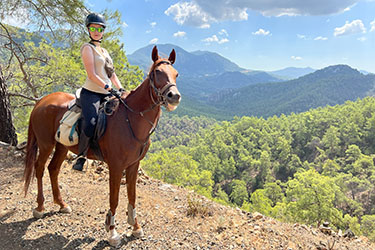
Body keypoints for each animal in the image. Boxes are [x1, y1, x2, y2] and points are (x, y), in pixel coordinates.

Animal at [23, 46, 182, 247]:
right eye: (157, 72)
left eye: (176, 74)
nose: (174, 96)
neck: (130, 119)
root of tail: (41, 101)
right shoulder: (116, 167)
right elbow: (114, 199)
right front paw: (112, 232)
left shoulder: (133, 165)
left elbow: (132, 196)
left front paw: (135, 226)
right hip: (45, 144)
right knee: (39, 168)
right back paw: (40, 206)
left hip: (62, 146)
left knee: (53, 169)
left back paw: (61, 204)